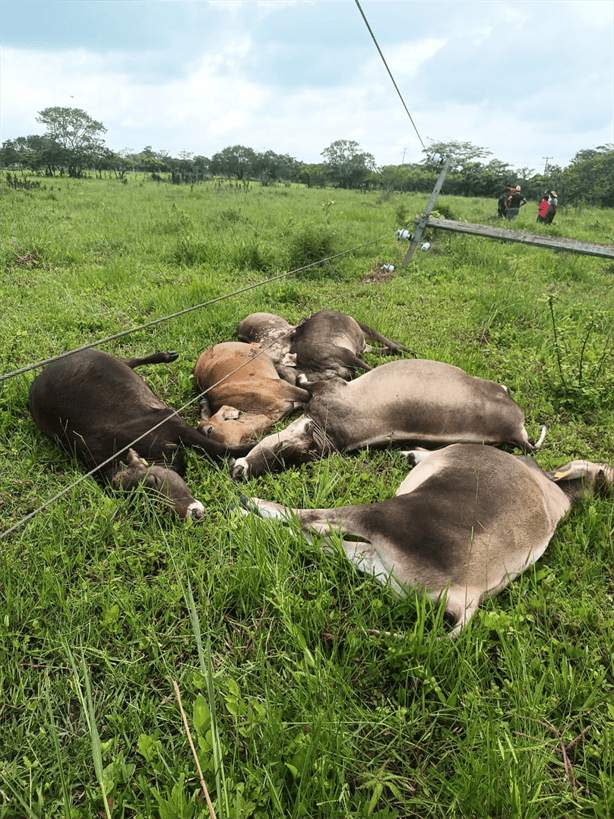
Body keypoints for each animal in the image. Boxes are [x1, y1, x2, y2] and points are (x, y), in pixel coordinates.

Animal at [28, 350, 250, 520]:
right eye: (147, 503)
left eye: (153, 481)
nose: (193, 514)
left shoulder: (170, 421)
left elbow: (217, 447)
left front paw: (250, 447)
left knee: (132, 361)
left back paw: (167, 356)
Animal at [232, 358, 548, 480]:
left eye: (283, 450)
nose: (239, 471)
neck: (329, 431)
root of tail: (516, 432)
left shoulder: (328, 388)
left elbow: (301, 379)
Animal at [238, 310, 412, 384]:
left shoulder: (345, 354)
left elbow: (370, 370)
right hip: (363, 346)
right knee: (390, 349)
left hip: (362, 331)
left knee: (391, 344)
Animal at [242, 446, 614, 636]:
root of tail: (469, 597)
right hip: (379, 565)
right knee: (324, 542)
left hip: (381, 516)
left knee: (308, 520)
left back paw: (248, 508)